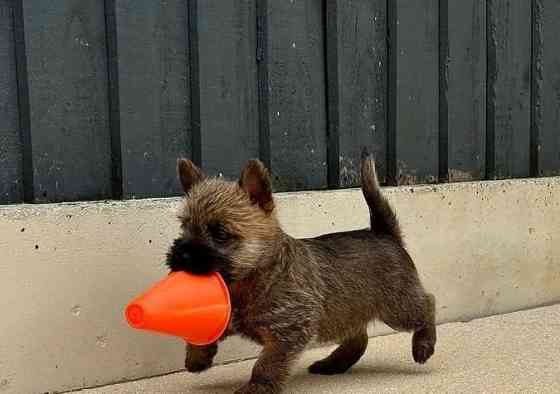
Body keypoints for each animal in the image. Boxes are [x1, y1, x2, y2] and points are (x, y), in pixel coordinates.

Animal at [166, 149, 438, 392]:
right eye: (185, 227)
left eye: (220, 233)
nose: (180, 254)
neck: (256, 277)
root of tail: (384, 233)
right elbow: (200, 334)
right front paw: (197, 358)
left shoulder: (288, 332)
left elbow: (267, 363)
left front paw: (258, 386)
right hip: (343, 314)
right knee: (358, 338)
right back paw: (334, 363)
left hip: (398, 308)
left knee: (428, 304)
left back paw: (424, 345)